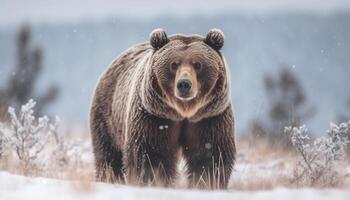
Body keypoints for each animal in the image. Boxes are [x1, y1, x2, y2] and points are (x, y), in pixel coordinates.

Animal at [90, 28, 237, 189]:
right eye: (174, 64)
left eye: (198, 64)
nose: (184, 84)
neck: (183, 112)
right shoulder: (154, 116)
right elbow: (152, 154)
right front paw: (153, 181)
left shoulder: (208, 117)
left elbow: (210, 154)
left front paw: (207, 183)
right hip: (108, 115)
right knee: (108, 154)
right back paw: (109, 178)